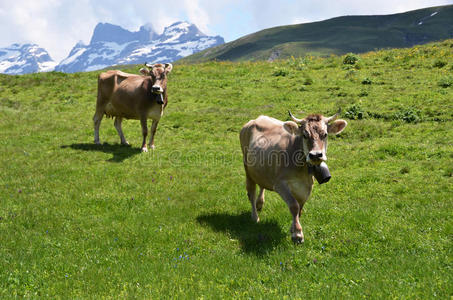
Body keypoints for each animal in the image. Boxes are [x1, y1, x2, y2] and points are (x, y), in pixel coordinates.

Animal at [240, 110, 346, 244]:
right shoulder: (280, 184)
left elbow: (300, 208)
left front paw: (293, 228)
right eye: (305, 135)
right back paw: (255, 217)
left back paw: (260, 204)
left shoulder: (306, 187)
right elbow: (294, 206)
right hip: (247, 168)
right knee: (251, 192)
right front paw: (297, 234)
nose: (316, 155)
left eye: (325, 134)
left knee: (261, 184)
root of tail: (256, 119)